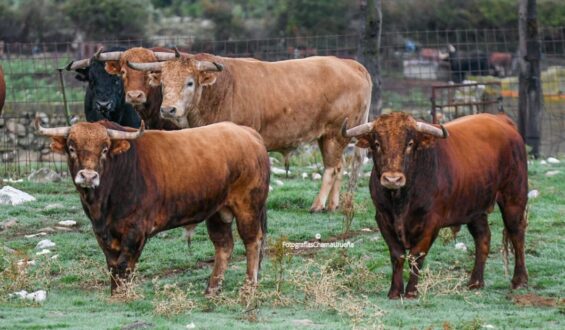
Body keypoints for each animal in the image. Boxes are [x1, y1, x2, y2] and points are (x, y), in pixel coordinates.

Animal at [35, 118, 268, 294]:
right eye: (71, 148)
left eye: (104, 149)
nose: (88, 176)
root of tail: (248, 133)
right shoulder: (102, 233)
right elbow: (112, 265)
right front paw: (114, 293)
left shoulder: (136, 230)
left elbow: (124, 265)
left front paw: (122, 295)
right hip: (218, 211)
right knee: (224, 245)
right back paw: (212, 289)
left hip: (248, 206)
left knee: (252, 241)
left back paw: (249, 286)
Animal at [344, 113, 528, 300]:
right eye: (377, 144)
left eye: (410, 143)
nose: (392, 179)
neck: (401, 200)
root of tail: (501, 119)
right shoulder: (382, 218)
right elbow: (397, 254)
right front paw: (394, 291)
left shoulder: (431, 222)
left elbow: (417, 255)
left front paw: (411, 291)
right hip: (475, 208)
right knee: (483, 238)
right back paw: (475, 282)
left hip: (514, 198)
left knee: (517, 234)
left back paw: (519, 280)